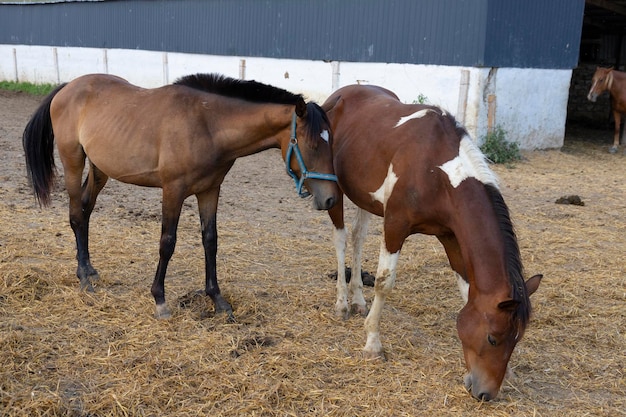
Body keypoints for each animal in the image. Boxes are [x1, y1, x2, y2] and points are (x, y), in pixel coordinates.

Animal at [23, 72, 336, 318]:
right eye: (311, 145)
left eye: (329, 142)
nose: (330, 199)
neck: (208, 123)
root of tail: (68, 87)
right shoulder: (173, 191)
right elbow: (167, 243)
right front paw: (160, 300)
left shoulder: (209, 190)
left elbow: (210, 241)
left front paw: (217, 300)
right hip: (73, 161)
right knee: (76, 215)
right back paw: (83, 279)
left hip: (100, 169)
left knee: (86, 211)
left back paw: (90, 270)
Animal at [320, 84, 540, 400]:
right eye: (492, 338)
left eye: (516, 339)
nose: (485, 393)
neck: (437, 171)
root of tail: (341, 94)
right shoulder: (395, 225)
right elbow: (384, 282)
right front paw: (373, 343)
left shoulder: (451, 237)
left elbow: (467, 288)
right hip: (334, 190)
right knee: (340, 238)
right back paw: (342, 304)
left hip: (365, 197)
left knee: (357, 237)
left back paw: (358, 299)